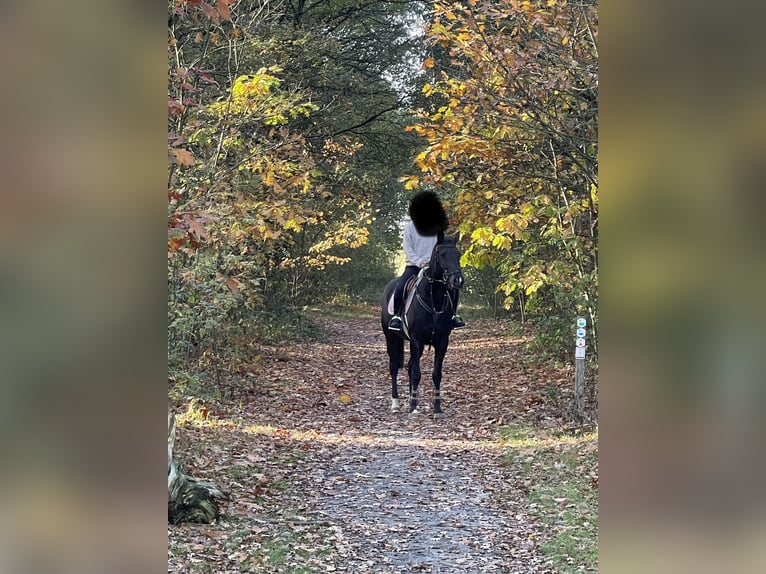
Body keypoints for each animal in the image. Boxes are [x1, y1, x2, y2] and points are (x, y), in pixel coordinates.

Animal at [381, 232, 464, 418]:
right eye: (442, 254)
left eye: (458, 254)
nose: (457, 280)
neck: (434, 300)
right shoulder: (416, 340)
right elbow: (417, 374)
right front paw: (412, 408)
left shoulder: (442, 342)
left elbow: (436, 374)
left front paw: (437, 409)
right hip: (391, 338)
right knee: (394, 367)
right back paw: (396, 404)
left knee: (410, 365)